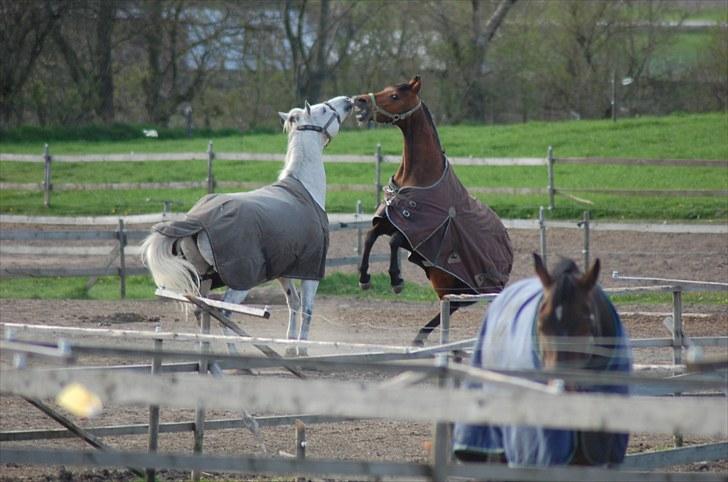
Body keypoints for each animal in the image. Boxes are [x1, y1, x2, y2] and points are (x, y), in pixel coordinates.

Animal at [141, 97, 352, 354]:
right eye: (322, 108)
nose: (349, 101)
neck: (304, 186)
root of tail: (196, 220)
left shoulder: (285, 271)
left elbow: (293, 303)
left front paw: (289, 347)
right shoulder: (311, 272)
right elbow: (307, 311)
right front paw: (302, 350)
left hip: (204, 281)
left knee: (204, 312)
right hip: (239, 283)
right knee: (224, 313)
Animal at [352, 76, 512, 346]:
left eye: (395, 96)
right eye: (384, 89)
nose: (360, 101)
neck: (419, 179)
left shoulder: (418, 235)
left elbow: (393, 242)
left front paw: (396, 280)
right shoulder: (391, 222)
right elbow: (370, 236)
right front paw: (364, 279)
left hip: (460, 281)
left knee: (453, 306)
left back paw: (424, 338)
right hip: (443, 278)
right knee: (448, 305)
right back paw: (425, 339)